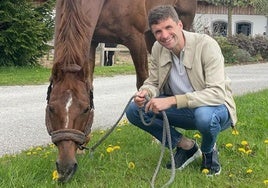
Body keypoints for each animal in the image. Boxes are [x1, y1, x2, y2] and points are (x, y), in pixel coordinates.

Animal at [45, 0, 196, 183]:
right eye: (51, 108)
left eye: (85, 109)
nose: (65, 169)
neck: (104, 4)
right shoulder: (93, 40)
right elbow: (90, 82)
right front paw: (83, 145)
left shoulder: (136, 39)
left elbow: (142, 82)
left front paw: (155, 136)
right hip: (152, 36)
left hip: (179, 26)